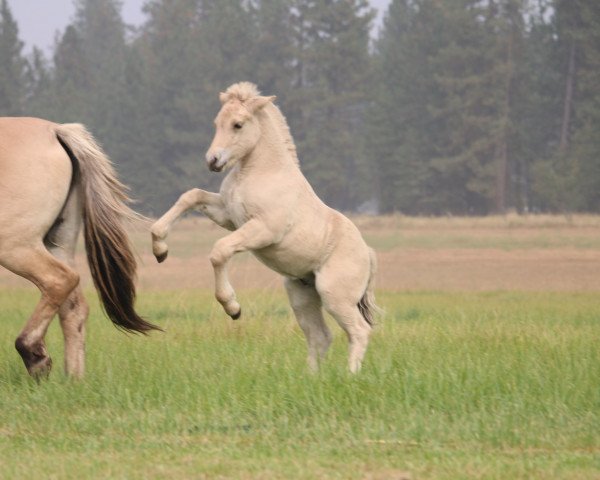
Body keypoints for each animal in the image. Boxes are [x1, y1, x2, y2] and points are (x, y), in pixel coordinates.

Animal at [0, 117, 158, 378]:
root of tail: (55, 130)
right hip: (58, 242)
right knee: (73, 307)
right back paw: (73, 379)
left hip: (15, 245)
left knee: (58, 280)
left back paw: (34, 354)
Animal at [154, 82, 380, 374]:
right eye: (217, 123)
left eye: (238, 124)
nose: (213, 161)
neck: (261, 171)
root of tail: (368, 254)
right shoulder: (228, 215)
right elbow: (191, 197)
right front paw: (159, 248)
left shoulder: (262, 230)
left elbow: (220, 251)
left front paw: (233, 307)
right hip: (302, 295)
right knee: (320, 336)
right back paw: (311, 378)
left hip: (335, 296)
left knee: (359, 331)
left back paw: (350, 376)